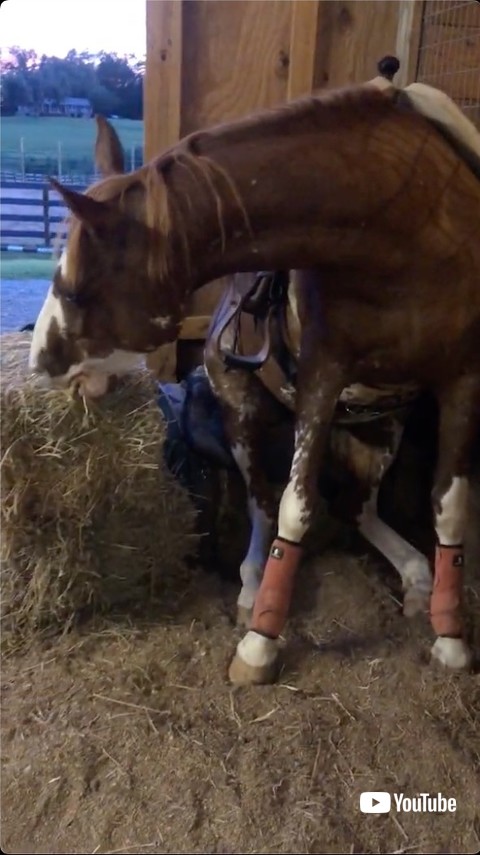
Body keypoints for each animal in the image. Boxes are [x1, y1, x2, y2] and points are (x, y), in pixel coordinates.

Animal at [28, 67, 480, 685]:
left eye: (74, 291)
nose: (39, 363)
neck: (407, 227)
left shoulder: (461, 378)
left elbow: (450, 508)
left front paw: (451, 636)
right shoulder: (322, 374)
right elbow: (295, 505)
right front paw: (261, 641)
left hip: (383, 425)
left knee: (358, 505)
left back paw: (414, 577)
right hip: (242, 414)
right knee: (264, 503)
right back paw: (252, 587)